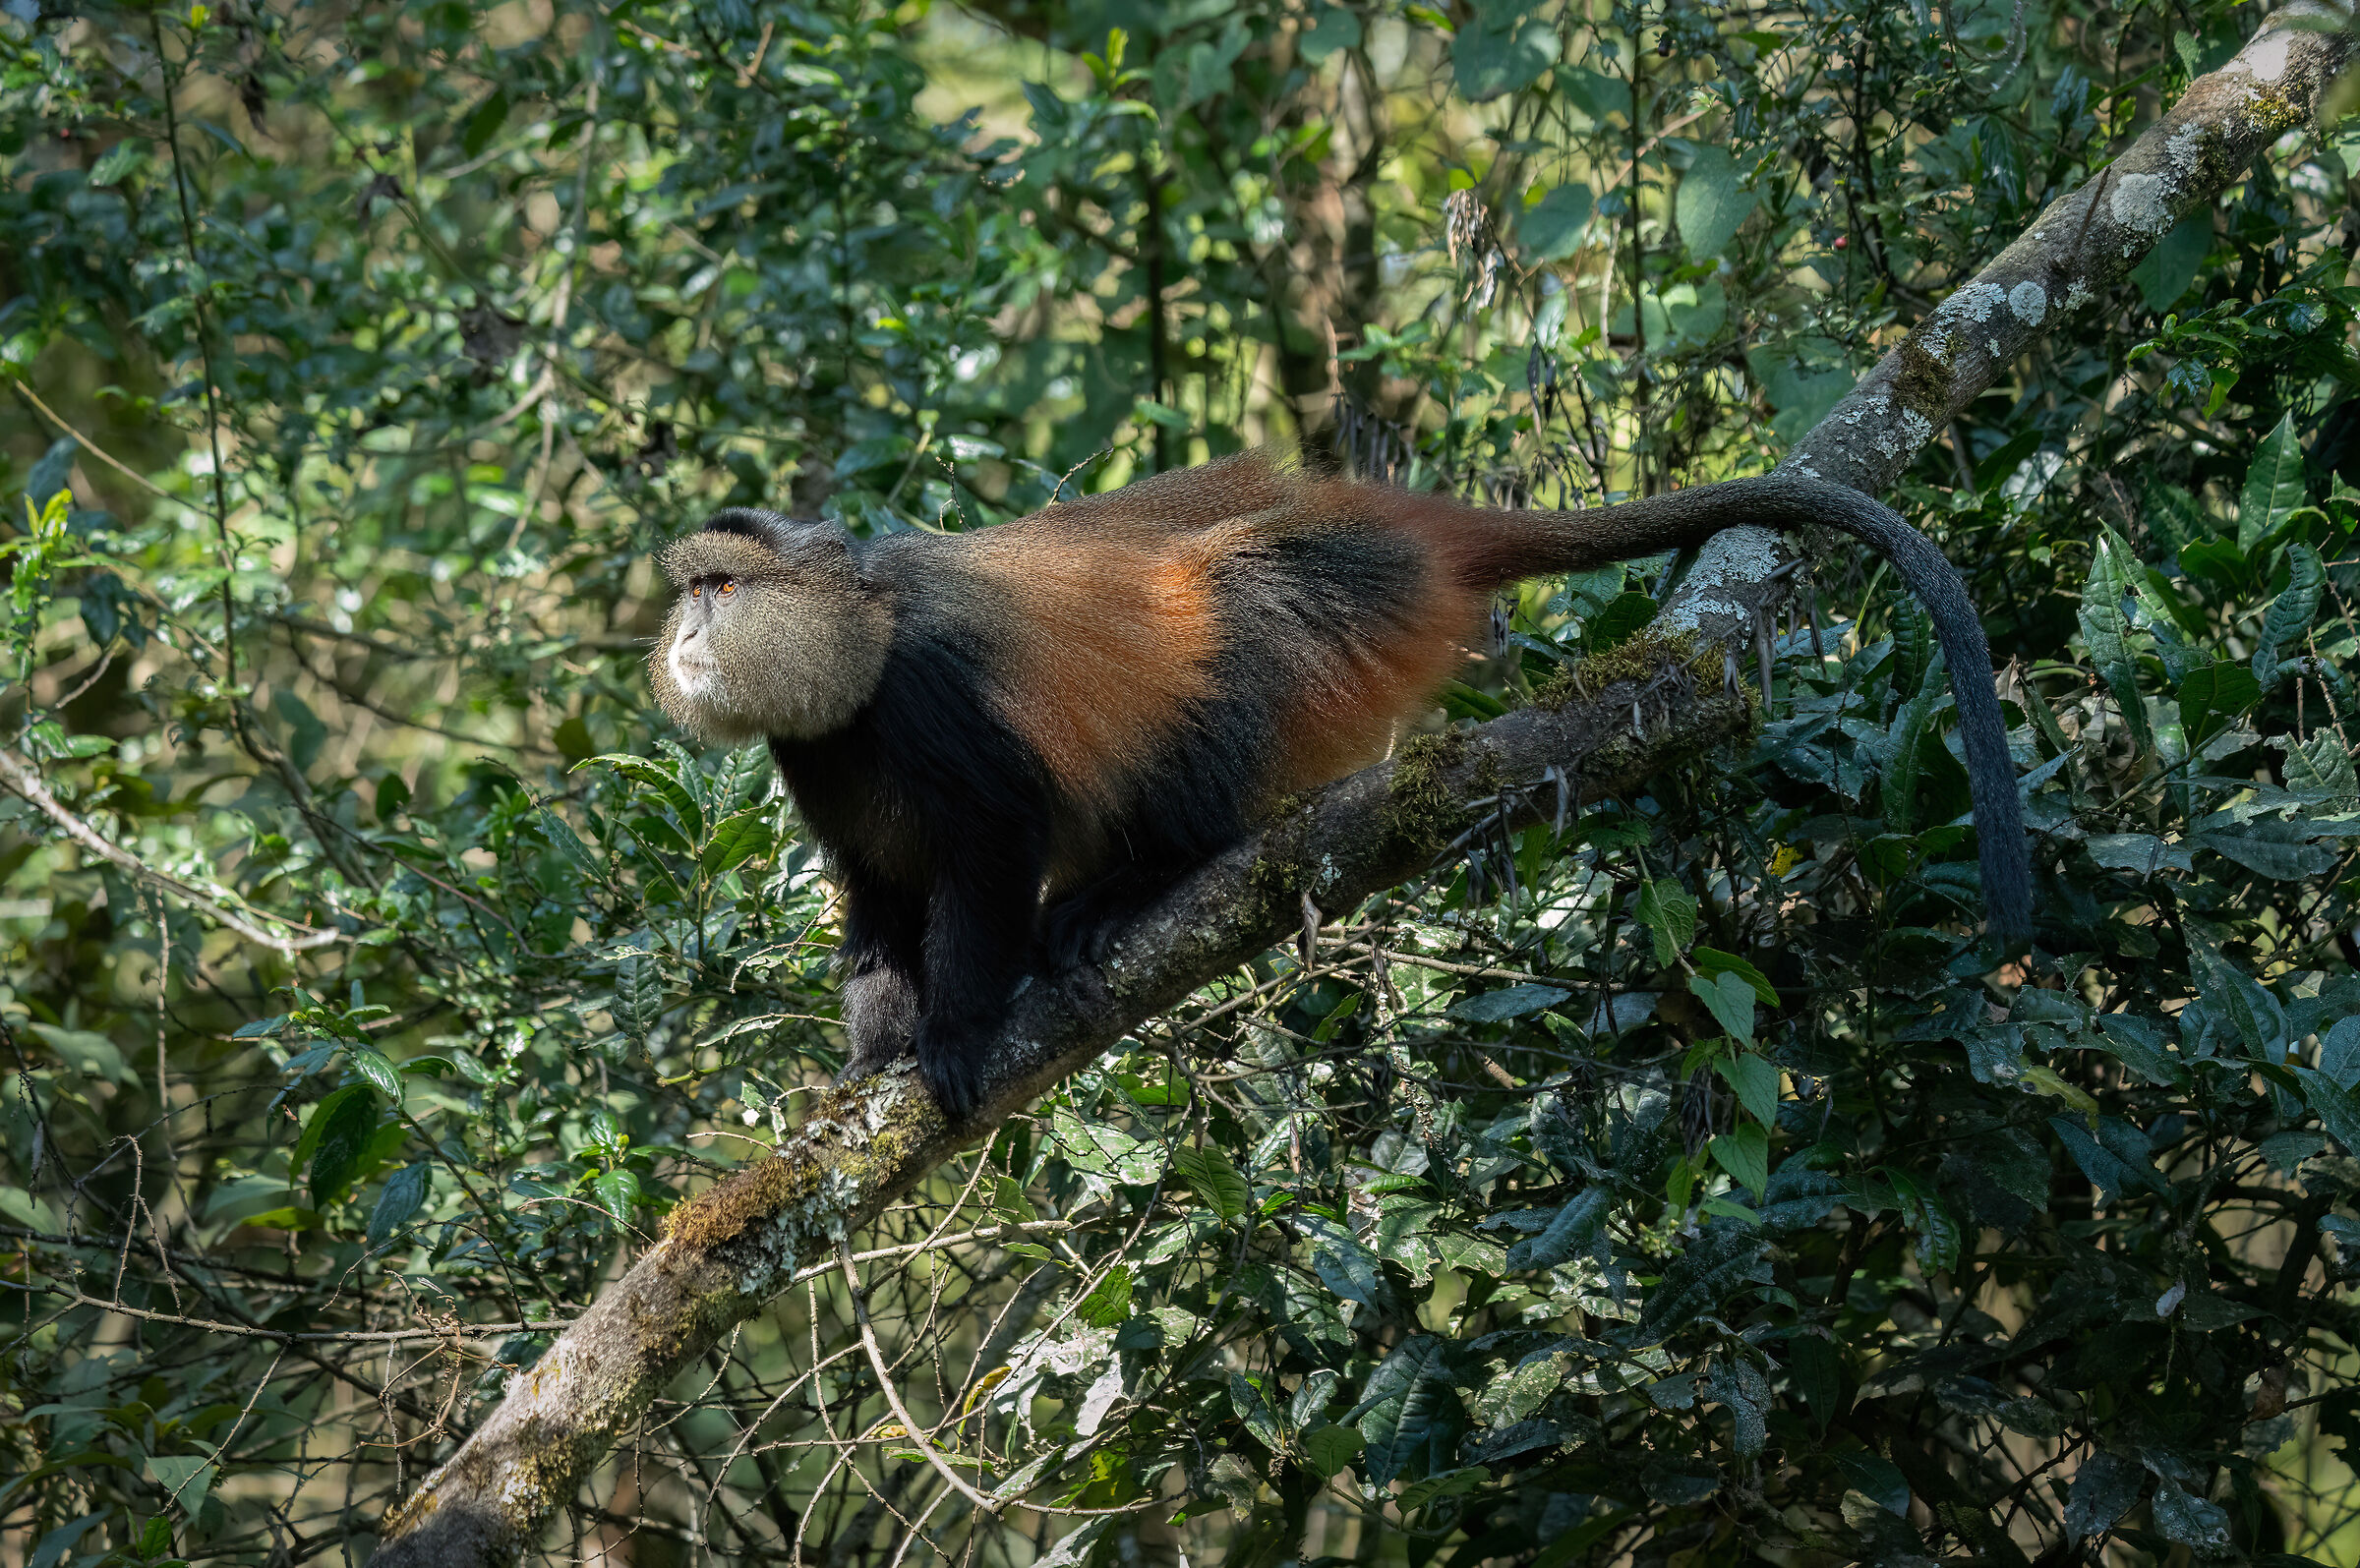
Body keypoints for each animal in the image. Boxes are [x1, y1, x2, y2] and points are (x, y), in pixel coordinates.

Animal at [650, 453, 2030, 1119]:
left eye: (719, 585)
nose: (682, 631)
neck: (859, 645)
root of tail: (1396, 521)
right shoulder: (823, 761)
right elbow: (879, 899)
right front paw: (870, 1058)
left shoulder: (936, 698)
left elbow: (991, 846)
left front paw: (949, 1035)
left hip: (1334, 605)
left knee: (1235, 634)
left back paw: (1148, 876)